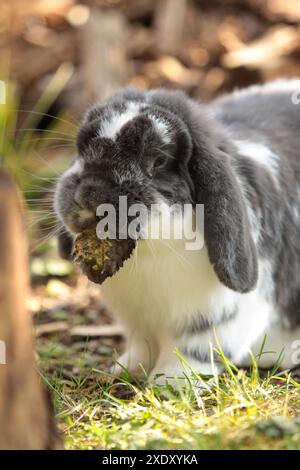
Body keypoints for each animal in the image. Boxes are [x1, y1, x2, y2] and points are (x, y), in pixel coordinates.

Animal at [54, 81, 300, 386]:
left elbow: (193, 351)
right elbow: (141, 347)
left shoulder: (221, 317)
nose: (90, 194)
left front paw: (168, 383)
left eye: (158, 161)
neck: (149, 255)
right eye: (81, 147)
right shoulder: (138, 324)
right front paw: (125, 369)